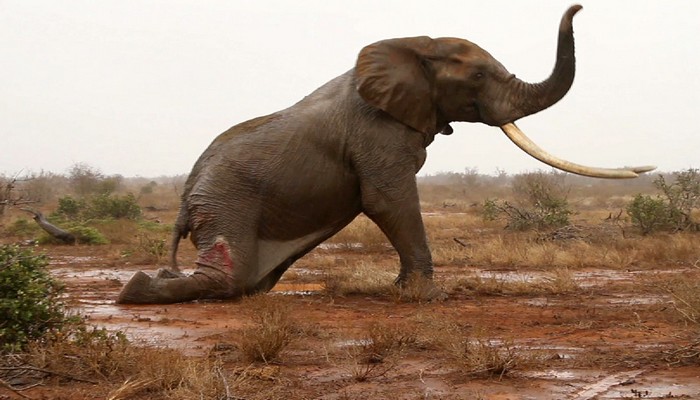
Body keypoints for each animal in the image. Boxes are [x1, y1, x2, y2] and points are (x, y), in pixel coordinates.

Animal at [116, 4, 656, 304]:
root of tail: (185, 198)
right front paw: (429, 299)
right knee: (229, 275)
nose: (579, 7)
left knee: (247, 279)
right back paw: (135, 289)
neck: (415, 46)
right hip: (227, 201)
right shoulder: (378, 132)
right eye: (479, 76)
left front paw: (405, 293)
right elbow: (387, 200)